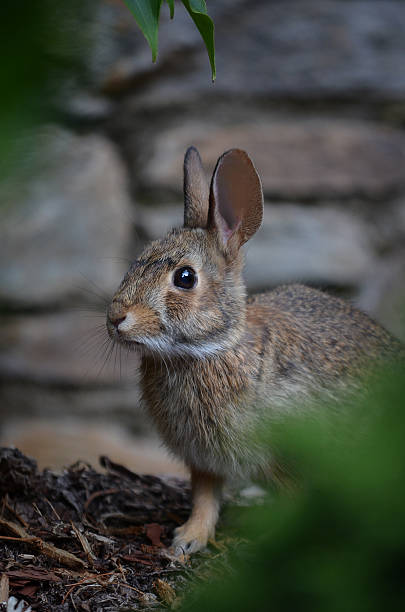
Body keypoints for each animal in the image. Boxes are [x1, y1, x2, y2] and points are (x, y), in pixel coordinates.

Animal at [105, 147, 402, 556]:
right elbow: (205, 499)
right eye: (139, 259)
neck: (211, 348)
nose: (116, 317)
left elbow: (294, 503)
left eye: (185, 278)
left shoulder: (290, 454)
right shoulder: (203, 460)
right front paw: (187, 540)